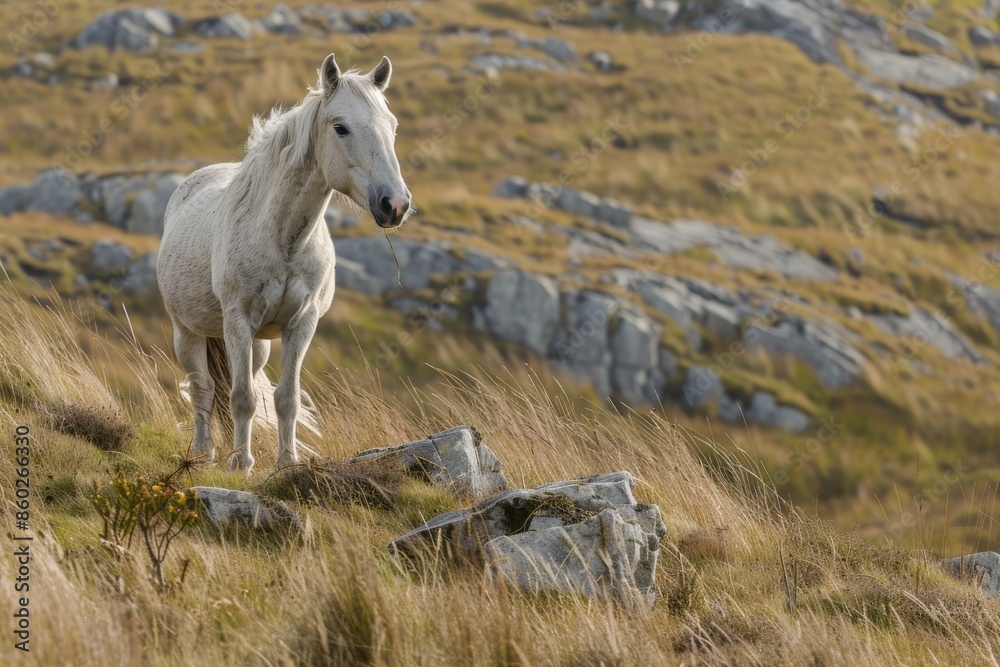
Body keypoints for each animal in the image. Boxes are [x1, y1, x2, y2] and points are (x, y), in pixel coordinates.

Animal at [157, 54, 411, 473]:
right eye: (340, 127)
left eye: (392, 126)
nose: (395, 205)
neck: (284, 240)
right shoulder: (237, 321)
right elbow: (242, 397)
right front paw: (241, 464)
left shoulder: (301, 324)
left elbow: (285, 398)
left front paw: (287, 464)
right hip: (188, 332)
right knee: (202, 389)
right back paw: (204, 453)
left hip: (257, 346)